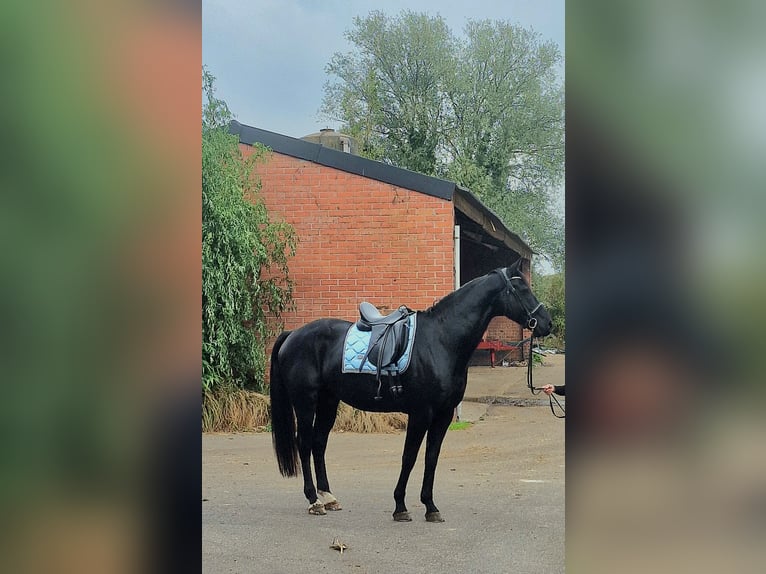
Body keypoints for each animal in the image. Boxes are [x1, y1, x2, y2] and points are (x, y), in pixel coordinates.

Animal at [269, 259, 552, 522]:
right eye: (521, 288)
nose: (547, 324)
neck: (440, 340)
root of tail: (293, 334)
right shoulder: (420, 413)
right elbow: (410, 457)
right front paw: (400, 507)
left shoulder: (443, 415)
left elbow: (431, 457)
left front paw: (430, 507)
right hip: (305, 402)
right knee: (305, 443)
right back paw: (314, 500)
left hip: (328, 401)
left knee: (319, 442)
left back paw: (329, 497)